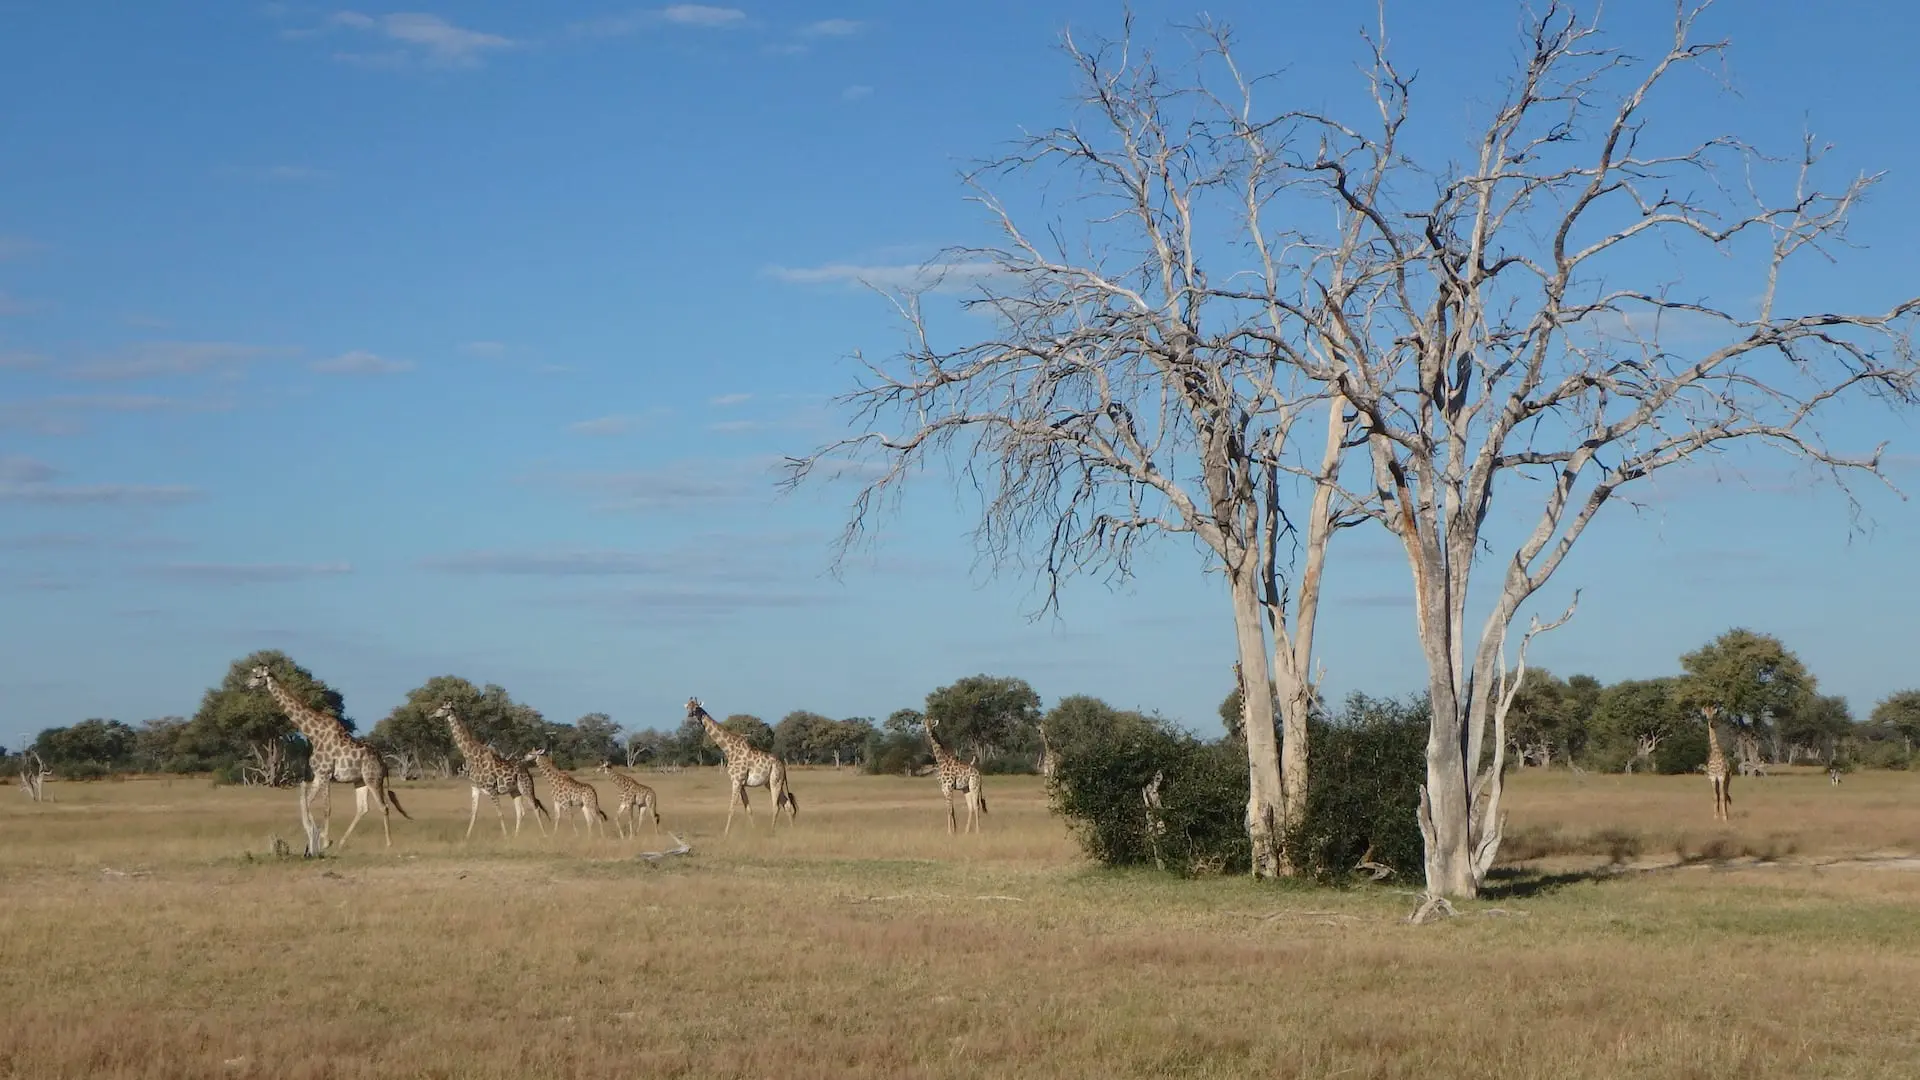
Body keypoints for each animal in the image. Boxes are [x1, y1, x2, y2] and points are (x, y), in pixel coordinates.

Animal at [249, 665, 411, 850]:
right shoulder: (318, 775)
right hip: (360, 780)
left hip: (373, 779)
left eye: (258, 676)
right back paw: (342, 841)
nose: (248, 684)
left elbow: (326, 807)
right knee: (363, 808)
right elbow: (305, 803)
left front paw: (325, 840)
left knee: (383, 806)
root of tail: (383, 762)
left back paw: (389, 843)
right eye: (253, 673)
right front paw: (315, 833)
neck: (313, 734)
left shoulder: (326, 774)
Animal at [431, 701, 550, 839]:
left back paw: (544, 835)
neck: (473, 757)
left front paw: (505, 837)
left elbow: (500, 813)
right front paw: (467, 837)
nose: (433, 714)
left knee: (535, 807)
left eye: (443, 708)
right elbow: (473, 814)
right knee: (520, 812)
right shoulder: (475, 788)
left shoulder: (492, 788)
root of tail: (528, 772)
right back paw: (516, 836)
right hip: (514, 791)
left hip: (525, 787)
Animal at [686, 698, 797, 835]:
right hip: (773, 782)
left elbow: (731, 808)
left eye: (696, 707)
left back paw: (772, 831)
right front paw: (754, 830)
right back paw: (792, 830)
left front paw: (725, 834)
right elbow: (748, 809)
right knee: (786, 804)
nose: (690, 715)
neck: (729, 749)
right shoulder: (741, 783)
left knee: (776, 806)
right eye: (687, 707)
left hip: (775, 780)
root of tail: (783, 765)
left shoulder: (736, 781)